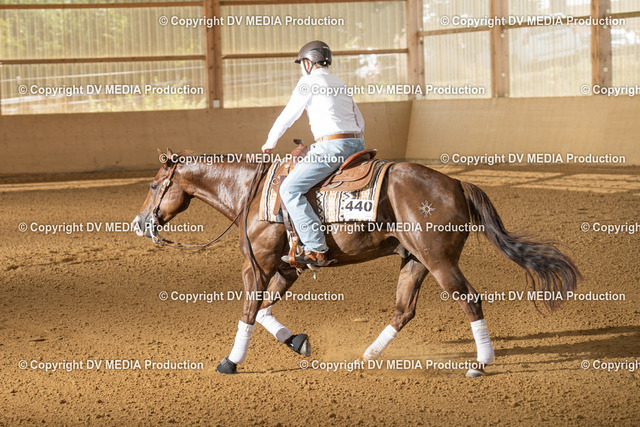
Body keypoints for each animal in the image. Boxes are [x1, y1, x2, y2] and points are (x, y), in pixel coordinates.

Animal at [133, 148, 580, 376]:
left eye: (154, 185)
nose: (140, 223)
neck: (254, 193)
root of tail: (456, 182)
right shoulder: (287, 267)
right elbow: (263, 311)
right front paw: (297, 341)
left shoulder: (256, 266)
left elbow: (248, 311)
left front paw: (231, 362)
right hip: (414, 261)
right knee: (404, 310)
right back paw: (368, 355)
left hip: (439, 262)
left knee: (469, 299)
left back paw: (480, 364)